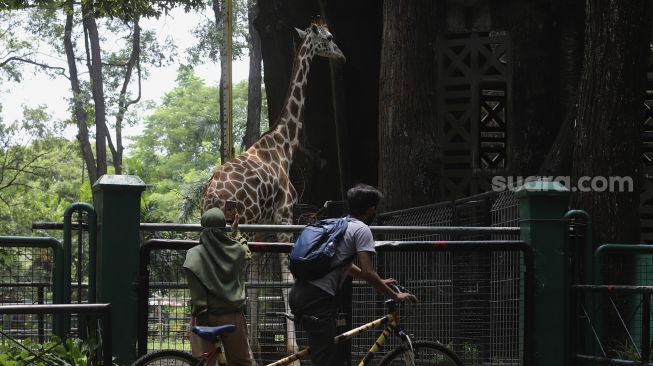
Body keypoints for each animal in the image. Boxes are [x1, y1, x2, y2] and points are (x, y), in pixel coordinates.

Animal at [202, 17, 346, 360]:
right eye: (329, 38)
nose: (342, 56)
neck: (284, 145)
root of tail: (211, 194)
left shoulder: (260, 225)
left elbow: (255, 282)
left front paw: (256, 346)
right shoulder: (283, 217)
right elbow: (285, 279)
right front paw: (291, 351)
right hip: (233, 226)